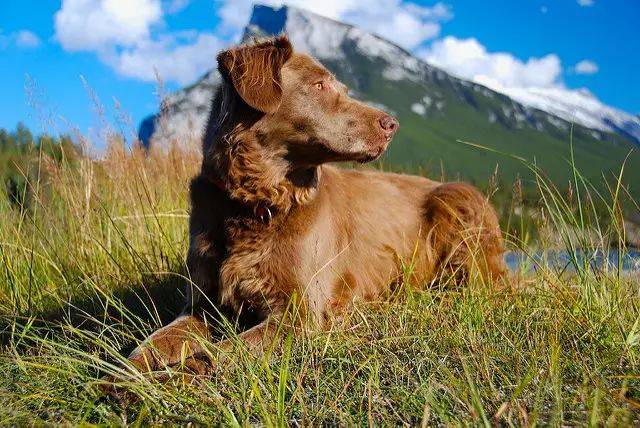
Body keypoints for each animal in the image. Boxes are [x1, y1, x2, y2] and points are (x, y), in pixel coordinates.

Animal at [122, 35, 508, 378]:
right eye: (320, 85)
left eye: (343, 89)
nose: (392, 125)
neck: (257, 202)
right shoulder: (201, 304)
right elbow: (151, 345)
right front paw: (123, 375)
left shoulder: (300, 313)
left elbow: (220, 352)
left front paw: (176, 378)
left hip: (458, 200)